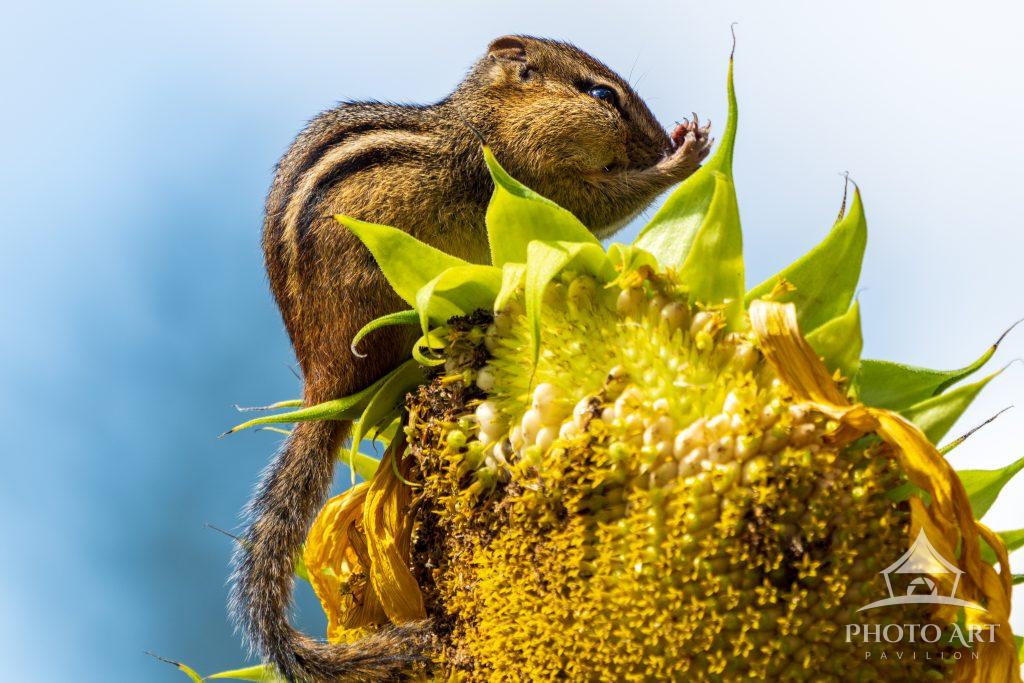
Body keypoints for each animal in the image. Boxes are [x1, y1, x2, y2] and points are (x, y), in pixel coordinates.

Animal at [233, 35, 712, 683]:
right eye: (600, 94)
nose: (661, 141)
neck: (492, 122)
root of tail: (323, 381)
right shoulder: (532, 175)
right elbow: (597, 205)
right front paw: (682, 158)